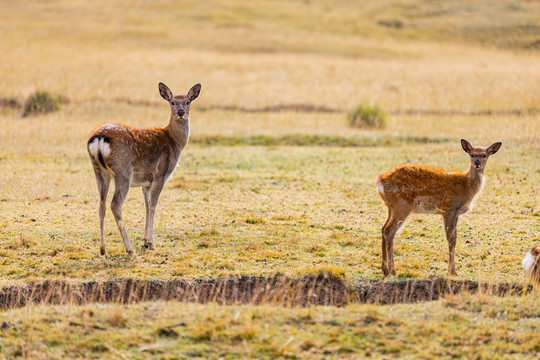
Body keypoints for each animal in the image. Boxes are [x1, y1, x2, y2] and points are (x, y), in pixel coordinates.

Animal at [87, 82, 201, 255]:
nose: (181, 112)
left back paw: (102, 249)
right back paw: (129, 249)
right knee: (115, 204)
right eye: (173, 102)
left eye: (187, 102)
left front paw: (146, 241)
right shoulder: (160, 174)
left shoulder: (146, 182)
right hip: (123, 171)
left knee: (101, 204)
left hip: (99, 171)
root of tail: (99, 138)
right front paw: (152, 243)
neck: (174, 143)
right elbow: (153, 205)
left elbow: (146, 205)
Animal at [376, 139, 502, 278]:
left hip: (391, 207)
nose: (477, 163)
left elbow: (454, 239)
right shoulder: (448, 207)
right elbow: (451, 239)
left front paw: (451, 270)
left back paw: (384, 269)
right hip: (402, 205)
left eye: (484, 155)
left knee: (383, 229)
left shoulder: (456, 213)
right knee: (389, 231)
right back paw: (392, 271)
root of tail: (380, 181)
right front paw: (453, 271)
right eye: (472, 154)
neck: (466, 186)